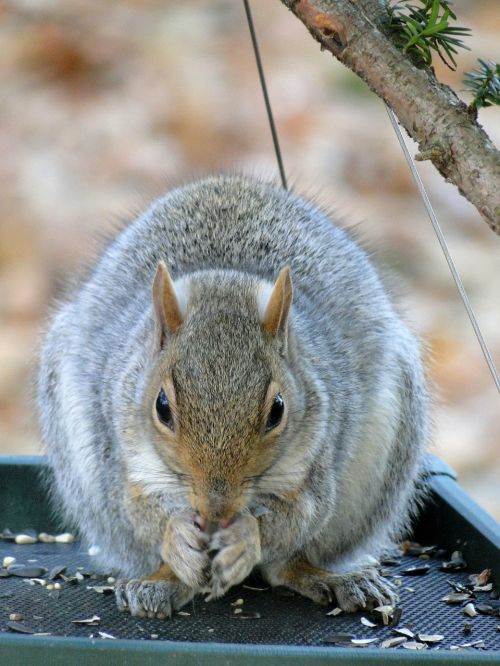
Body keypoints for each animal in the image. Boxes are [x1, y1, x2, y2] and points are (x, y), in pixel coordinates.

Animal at [38, 175, 430, 616]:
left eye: (277, 410)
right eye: (161, 407)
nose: (216, 510)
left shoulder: (317, 452)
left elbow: (302, 512)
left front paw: (246, 536)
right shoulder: (122, 455)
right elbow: (137, 508)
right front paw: (177, 536)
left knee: (286, 563)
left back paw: (333, 578)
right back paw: (163, 582)